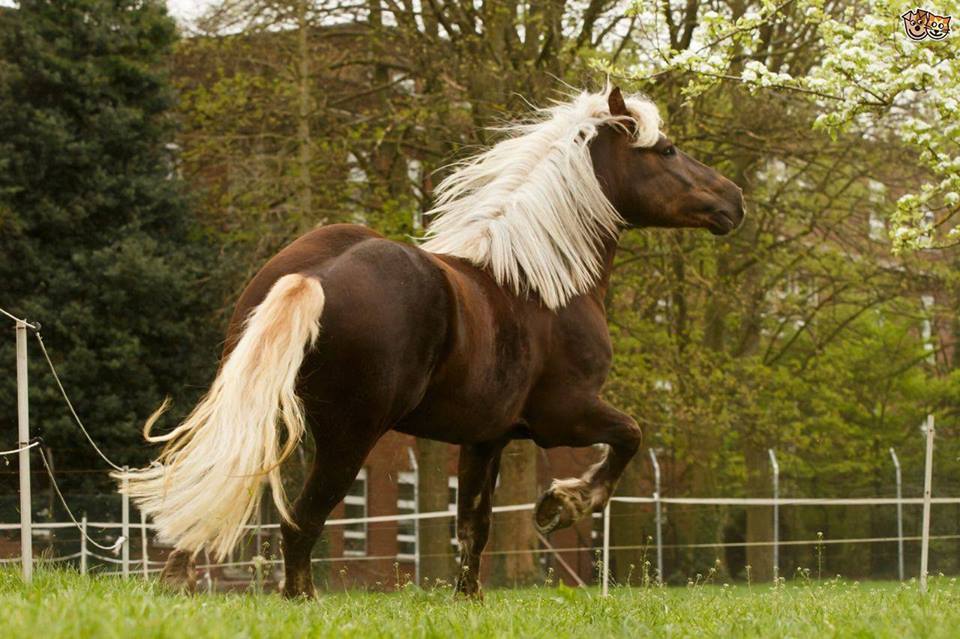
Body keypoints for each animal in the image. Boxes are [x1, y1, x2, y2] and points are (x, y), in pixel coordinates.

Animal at [117, 86, 744, 598]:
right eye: (666, 151)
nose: (734, 200)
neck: (539, 282)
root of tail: (314, 278)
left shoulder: (486, 437)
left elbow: (474, 524)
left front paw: (471, 597)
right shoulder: (564, 416)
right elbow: (629, 437)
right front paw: (562, 505)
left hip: (265, 417)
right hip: (349, 437)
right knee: (301, 522)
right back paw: (300, 598)